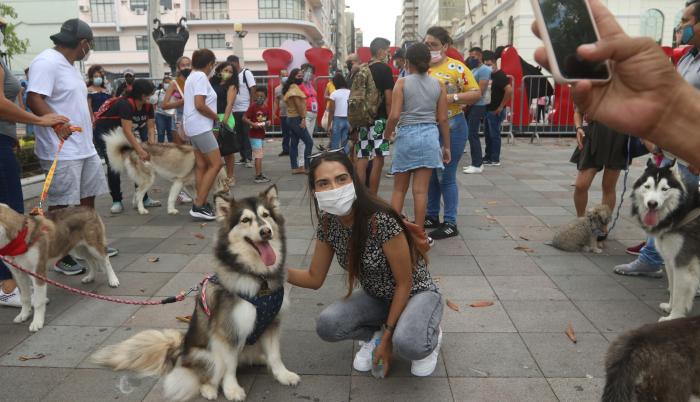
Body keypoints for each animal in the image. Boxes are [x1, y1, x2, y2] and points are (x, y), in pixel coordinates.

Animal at [91, 187, 300, 400]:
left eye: (266, 215)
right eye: (245, 220)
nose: (266, 231)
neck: (259, 278)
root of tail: (180, 350)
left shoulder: (272, 322)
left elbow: (275, 355)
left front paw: (283, 375)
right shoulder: (227, 332)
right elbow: (229, 366)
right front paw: (232, 389)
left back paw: (259, 359)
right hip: (208, 355)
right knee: (208, 375)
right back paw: (209, 389)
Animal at [628, 159, 700, 322]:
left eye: (664, 189)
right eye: (647, 186)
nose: (652, 204)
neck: (680, 211)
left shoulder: (682, 263)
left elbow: (679, 293)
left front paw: (674, 317)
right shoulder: (669, 260)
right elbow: (673, 288)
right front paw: (669, 307)